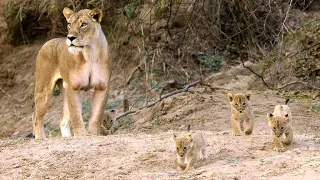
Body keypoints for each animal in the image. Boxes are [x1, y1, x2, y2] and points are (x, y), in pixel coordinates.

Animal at [33, 7, 111, 139]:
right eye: (69, 24)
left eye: (83, 24)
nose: (70, 38)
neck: (90, 53)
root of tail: (48, 42)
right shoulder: (72, 86)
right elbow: (76, 116)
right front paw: (81, 135)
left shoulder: (102, 87)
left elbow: (97, 115)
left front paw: (94, 134)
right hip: (44, 90)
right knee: (36, 117)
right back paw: (41, 138)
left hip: (64, 90)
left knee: (63, 120)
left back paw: (66, 137)